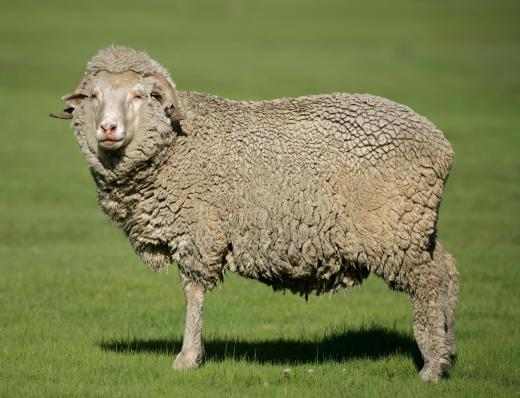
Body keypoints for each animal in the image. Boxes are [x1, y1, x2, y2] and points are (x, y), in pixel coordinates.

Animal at [50, 45, 460, 380]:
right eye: (94, 96)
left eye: (139, 95)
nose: (107, 128)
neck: (173, 145)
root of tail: (440, 143)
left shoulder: (198, 230)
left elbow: (193, 292)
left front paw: (188, 357)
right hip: (415, 225)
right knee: (446, 271)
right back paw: (447, 348)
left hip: (393, 230)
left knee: (427, 282)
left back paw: (431, 366)